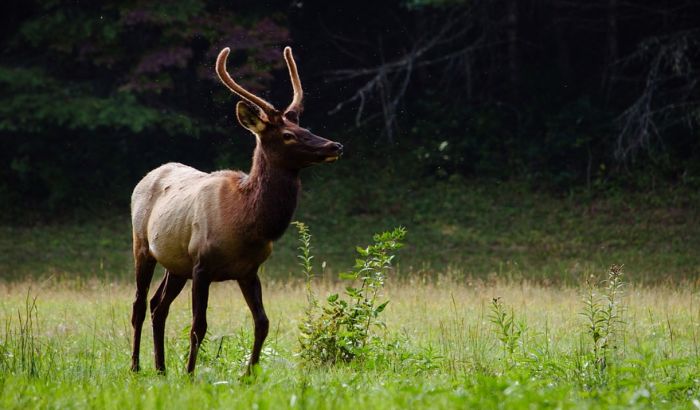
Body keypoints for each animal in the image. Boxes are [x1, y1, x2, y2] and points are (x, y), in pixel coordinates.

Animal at [130, 47, 344, 374]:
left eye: (304, 127)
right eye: (287, 135)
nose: (334, 146)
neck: (246, 223)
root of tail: (146, 176)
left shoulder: (249, 270)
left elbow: (263, 323)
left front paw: (250, 374)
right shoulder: (202, 264)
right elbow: (198, 326)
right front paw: (190, 373)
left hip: (175, 263)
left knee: (158, 305)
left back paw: (161, 368)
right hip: (142, 245)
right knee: (140, 305)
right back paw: (136, 366)